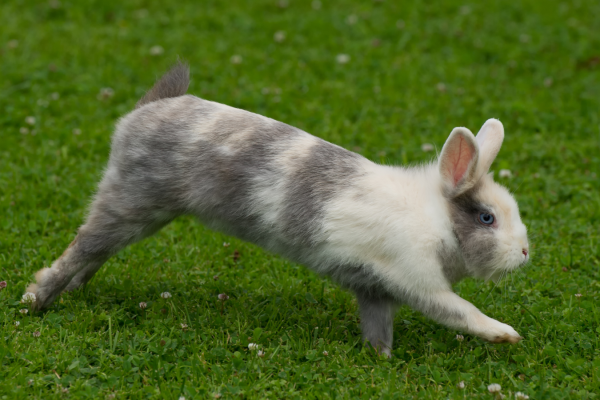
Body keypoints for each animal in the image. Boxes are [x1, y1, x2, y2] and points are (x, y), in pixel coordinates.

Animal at [25, 62, 528, 356]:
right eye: (486, 218)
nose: (524, 255)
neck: (437, 220)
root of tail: (147, 111)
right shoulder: (418, 280)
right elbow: (460, 310)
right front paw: (505, 334)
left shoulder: (375, 291)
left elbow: (378, 331)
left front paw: (381, 362)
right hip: (130, 202)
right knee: (80, 249)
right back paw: (35, 301)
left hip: (139, 213)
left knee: (94, 252)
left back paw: (74, 292)